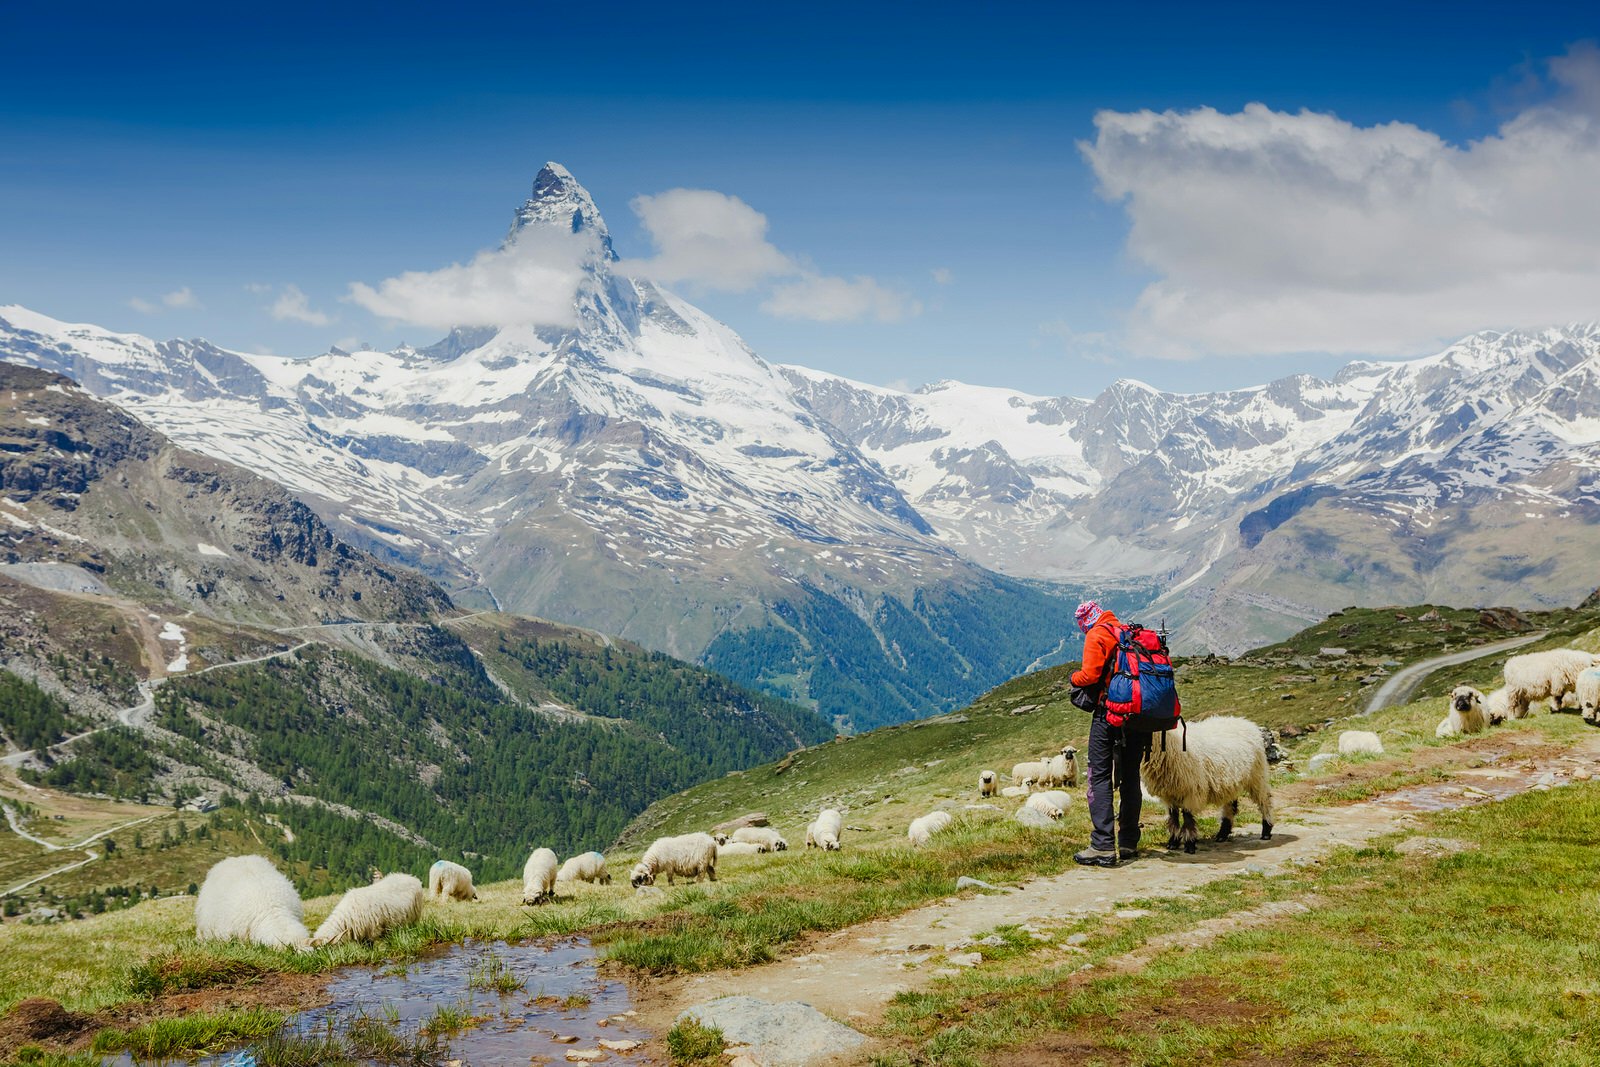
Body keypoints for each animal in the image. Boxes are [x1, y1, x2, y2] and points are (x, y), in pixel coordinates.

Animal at [1139, 713, 1273, 857]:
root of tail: (1245, 722)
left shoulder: (1191, 790)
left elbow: (1187, 817)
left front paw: (1189, 844)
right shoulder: (1169, 794)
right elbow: (1173, 817)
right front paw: (1173, 842)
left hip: (1257, 775)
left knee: (1264, 801)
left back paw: (1266, 830)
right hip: (1231, 781)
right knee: (1230, 806)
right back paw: (1222, 834)